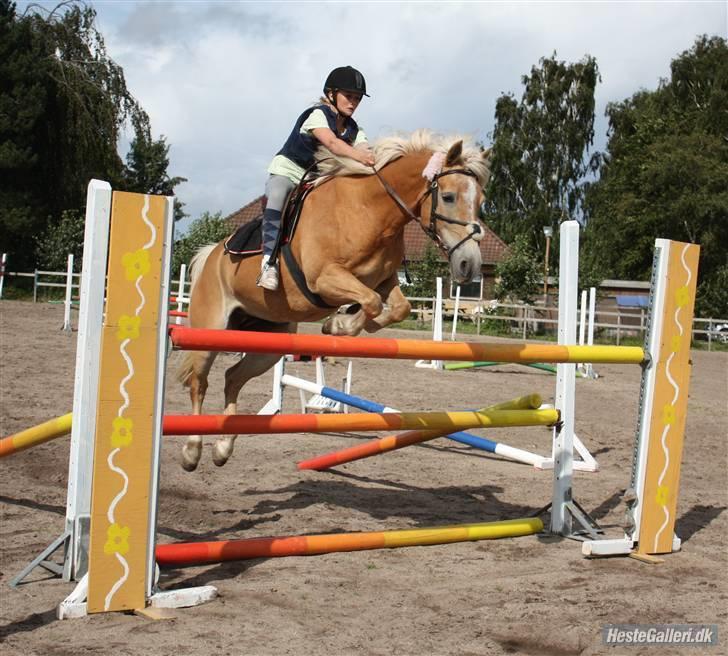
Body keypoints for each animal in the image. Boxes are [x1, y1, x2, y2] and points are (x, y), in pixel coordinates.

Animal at [179, 129, 492, 472]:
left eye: (480, 202)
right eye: (448, 197)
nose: (469, 266)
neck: (368, 210)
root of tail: (211, 255)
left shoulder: (384, 280)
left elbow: (397, 307)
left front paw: (344, 325)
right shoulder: (325, 279)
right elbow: (371, 301)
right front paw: (339, 324)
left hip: (270, 342)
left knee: (232, 378)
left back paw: (222, 447)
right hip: (209, 332)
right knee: (199, 382)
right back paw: (192, 451)